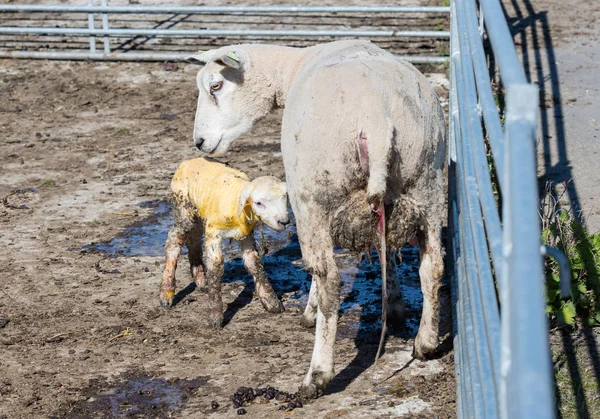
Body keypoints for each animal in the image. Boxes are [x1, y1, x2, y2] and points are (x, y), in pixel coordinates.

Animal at [159, 158, 290, 328]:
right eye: (259, 203)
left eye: (284, 198)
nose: (284, 222)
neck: (236, 199)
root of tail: (187, 161)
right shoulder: (213, 230)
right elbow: (216, 265)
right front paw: (215, 315)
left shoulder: (246, 233)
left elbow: (254, 262)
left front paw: (271, 302)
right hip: (183, 208)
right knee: (174, 242)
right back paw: (166, 293)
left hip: (199, 212)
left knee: (194, 239)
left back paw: (201, 281)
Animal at [188, 40, 446, 400]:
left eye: (215, 86)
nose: (199, 142)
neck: (291, 68)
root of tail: (377, 118)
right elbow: (385, 255)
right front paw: (394, 303)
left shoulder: (307, 204)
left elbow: (316, 270)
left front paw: (309, 312)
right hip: (427, 186)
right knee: (432, 266)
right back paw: (425, 343)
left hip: (316, 195)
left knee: (329, 280)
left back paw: (317, 374)